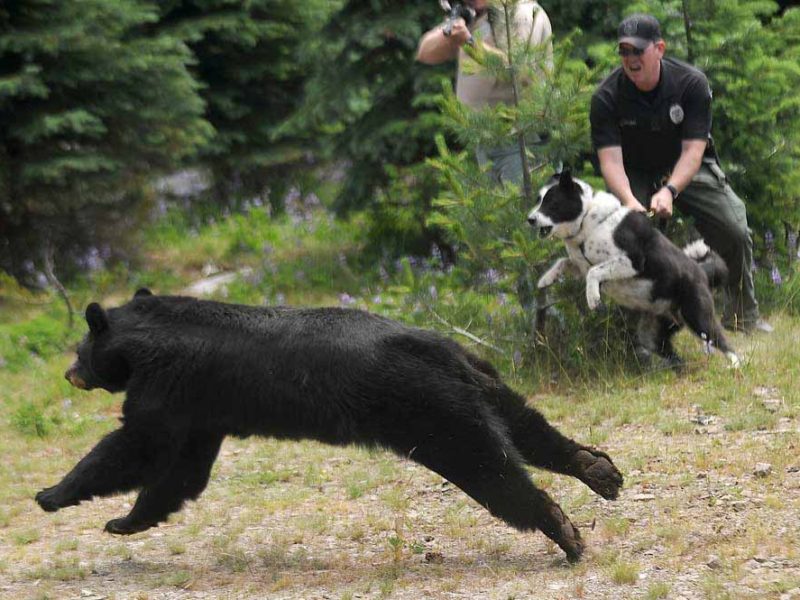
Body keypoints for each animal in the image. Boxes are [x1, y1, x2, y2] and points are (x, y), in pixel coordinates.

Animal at [37, 290, 620, 564]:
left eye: (79, 349)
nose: (69, 373)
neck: (149, 336)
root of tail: (440, 350)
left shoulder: (170, 388)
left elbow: (138, 446)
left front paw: (54, 493)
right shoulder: (206, 411)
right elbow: (183, 472)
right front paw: (127, 521)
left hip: (435, 414)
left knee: (493, 471)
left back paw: (564, 530)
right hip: (483, 384)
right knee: (528, 428)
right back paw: (597, 469)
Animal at [528, 171, 740, 368]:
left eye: (552, 202)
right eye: (538, 200)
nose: (530, 219)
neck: (588, 221)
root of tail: (702, 272)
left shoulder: (633, 261)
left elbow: (594, 271)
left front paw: (593, 298)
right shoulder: (580, 264)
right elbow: (564, 261)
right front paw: (546, 278)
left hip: (698, 316)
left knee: (726, 344)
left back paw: (734, 366)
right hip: (653, 332)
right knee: (672, 354)